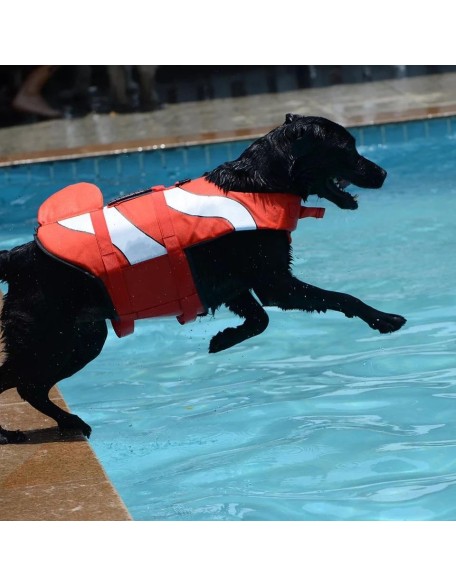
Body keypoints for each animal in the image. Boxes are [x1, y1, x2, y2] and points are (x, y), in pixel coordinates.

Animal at [0, 113, 406, 442]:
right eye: (346, 147)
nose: (384, 173)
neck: (262, 183)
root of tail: (18, 256)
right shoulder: (276, 284)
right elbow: (341, 298)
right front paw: (384, 318)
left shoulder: (234, 287)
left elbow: (259, 320)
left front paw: (222, 339)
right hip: (65, 340)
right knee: (27, 386)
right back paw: (63, 423)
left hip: (67, 339)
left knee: (16, 380)